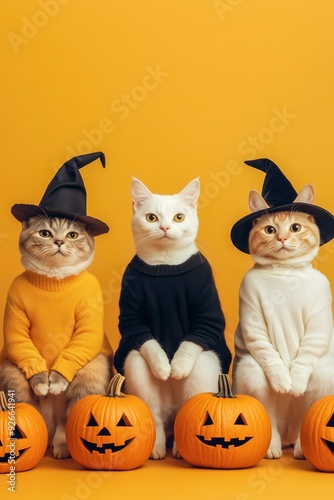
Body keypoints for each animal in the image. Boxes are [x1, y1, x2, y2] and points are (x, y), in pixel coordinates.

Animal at [113, 180, 231, 460]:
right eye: (151, 218)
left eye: (179, 217)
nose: (165, 227)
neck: (165, 264)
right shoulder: (132, 318)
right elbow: (148, 343)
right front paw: (163, 367)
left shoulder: (207, 313)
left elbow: (189, 344)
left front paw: (176, 367)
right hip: (136, 367)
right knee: (153, 414)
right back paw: (157, 446)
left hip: (205, 365)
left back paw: (180, 447)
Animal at [232, 187, 334, 460]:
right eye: (270, 230)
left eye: (295, 227)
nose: (282, 238)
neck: (285, 271)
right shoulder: (251, 307)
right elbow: (267, 351)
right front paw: (282, 380)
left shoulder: (321, 311)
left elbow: (308, 350)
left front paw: (295, 381)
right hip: (251, 371)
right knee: (266, 411)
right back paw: (273, 446)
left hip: (324, 374)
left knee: (309, 414)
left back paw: (301, 448)